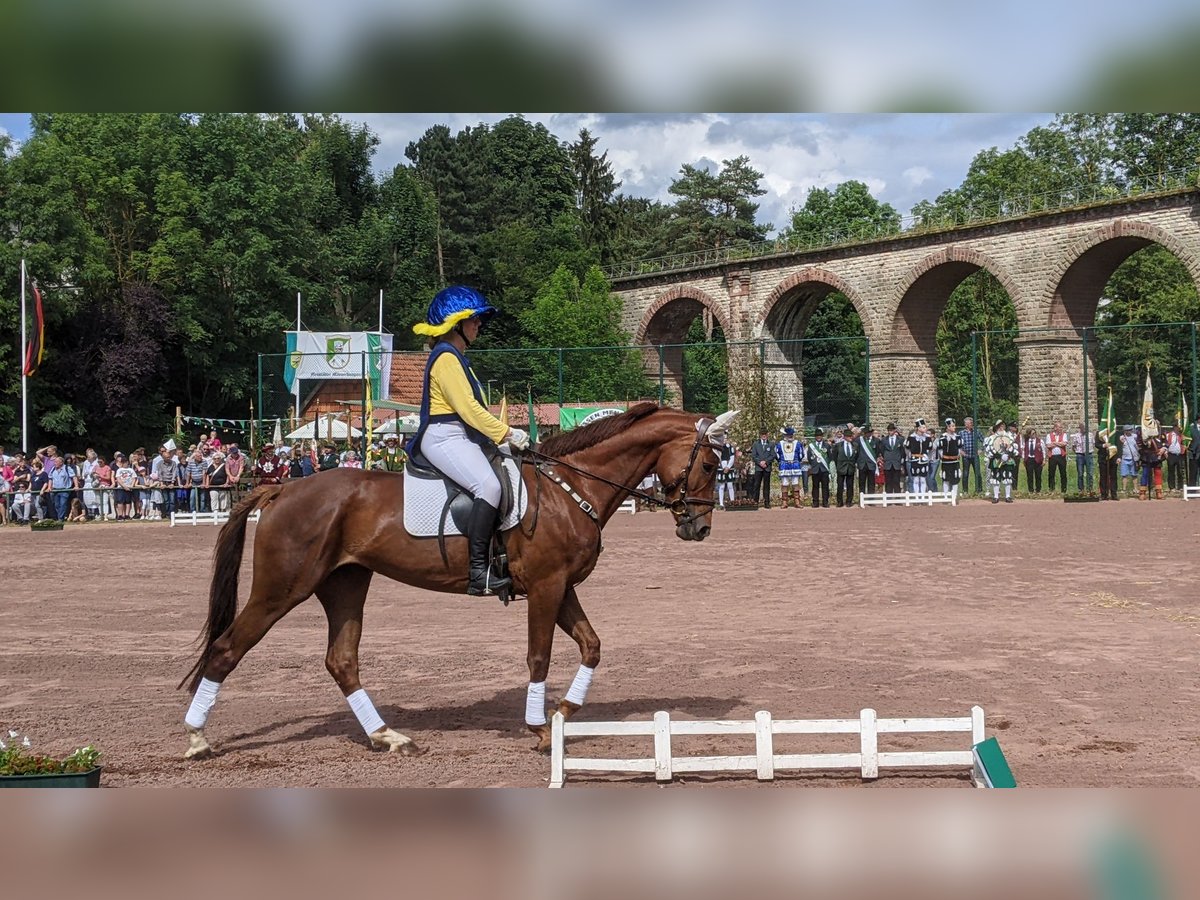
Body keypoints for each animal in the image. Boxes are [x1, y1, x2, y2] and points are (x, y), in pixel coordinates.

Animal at [182, 405, 734, 763]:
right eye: (710, 464)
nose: (699, 528)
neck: (570, 487)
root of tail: (282, 488)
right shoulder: (548, 587)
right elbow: (539, 656)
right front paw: (540, 728)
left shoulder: (563, 588)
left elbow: (592, 646)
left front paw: (565, 711)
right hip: (282, 589)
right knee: (228, 649)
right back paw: (197, 739)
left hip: (345, 585)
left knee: (342, 661)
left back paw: (388, 737)